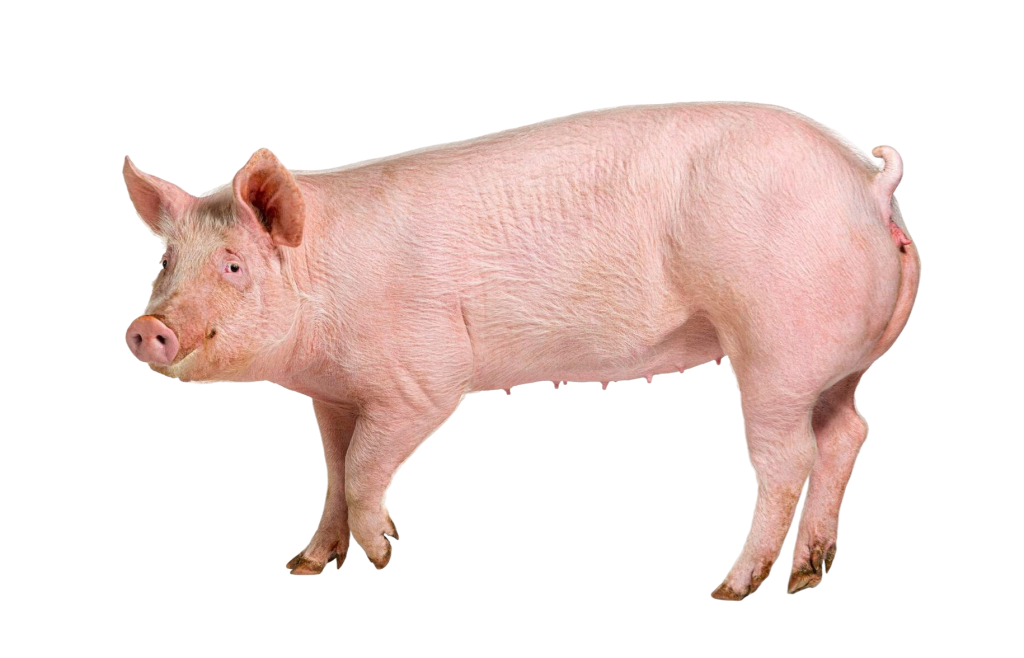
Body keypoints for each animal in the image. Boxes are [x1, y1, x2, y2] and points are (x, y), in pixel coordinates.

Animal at [122, 101, 920, 598]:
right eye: (164, 263)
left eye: (233, 265)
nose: (146, 327)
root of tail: (869, 183)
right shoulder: (333, 396)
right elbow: (331, 472)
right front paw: (305, 566)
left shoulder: (421, 381)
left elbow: (362, 471)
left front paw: (385, 553)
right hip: (835, 362)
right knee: (849, 432)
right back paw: (809, 576)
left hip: (776, 346)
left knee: (789, 460)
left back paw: (731, 588)